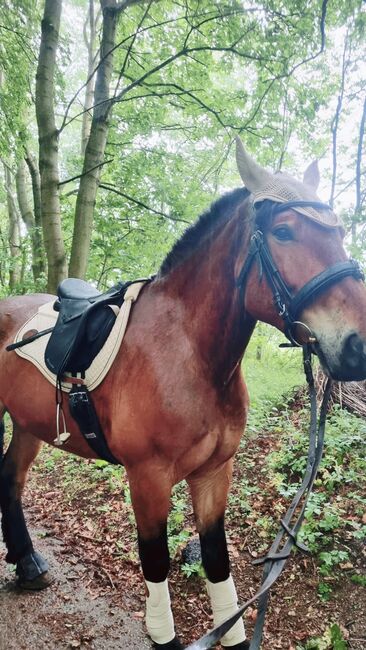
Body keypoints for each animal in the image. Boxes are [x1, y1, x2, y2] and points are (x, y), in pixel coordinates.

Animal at [0, 139, 366, 644]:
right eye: (284, 232)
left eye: (341, 232)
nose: (358, 345)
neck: (188, 355)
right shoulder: (148, 480)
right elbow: (156, 567)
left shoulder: (214, 473)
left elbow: (216, 562)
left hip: (27, 424)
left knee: (10, 478)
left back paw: (28, 564)